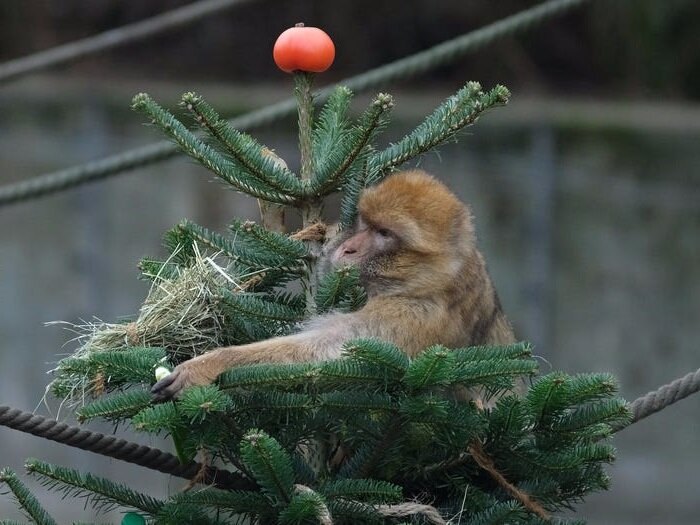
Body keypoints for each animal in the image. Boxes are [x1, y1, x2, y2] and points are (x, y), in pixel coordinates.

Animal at [152, 169, 514, 400]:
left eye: (384, 233)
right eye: (366, 224)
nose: (349, 248)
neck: (431, 281)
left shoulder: (412, 316)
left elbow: (332, 355)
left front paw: (211, 363)